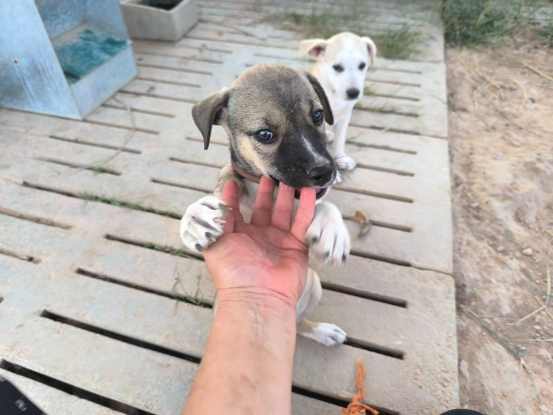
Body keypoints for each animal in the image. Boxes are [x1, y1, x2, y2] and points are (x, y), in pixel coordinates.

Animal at [179, 63, 351, 346]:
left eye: (317, 115)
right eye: (265, 134)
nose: (324, 171)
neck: (270, 193)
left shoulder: (311, 258)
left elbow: (326, 207)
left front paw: (331, 229)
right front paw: (195, 217)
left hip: (314, 285)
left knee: (299, 323)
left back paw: (321, 331)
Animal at [300, 32, 377, 178]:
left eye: (362, 65)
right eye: (337, 67)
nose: (353, 93)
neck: (333, 93)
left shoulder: (345, 115)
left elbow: (340, 140)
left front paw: (342, 159)